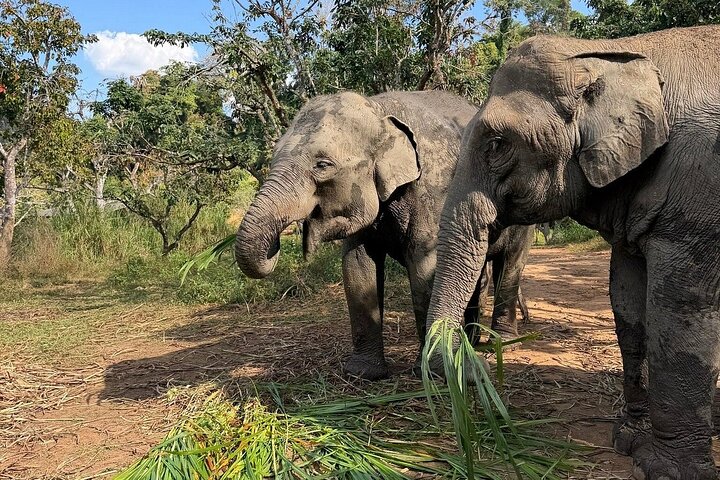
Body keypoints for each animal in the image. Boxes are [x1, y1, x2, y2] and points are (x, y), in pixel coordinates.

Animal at [234, 90, 534, 381]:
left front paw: (424, 371)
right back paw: (471, 343)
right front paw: (363, 373)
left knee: (510, 265)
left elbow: (425, 265)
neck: (378, 108)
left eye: (322, 165)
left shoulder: (434, 190)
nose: (279, 245)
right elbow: (357, 267)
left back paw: (503, 344)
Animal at [425, 26, 720, 480]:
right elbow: (628, 302)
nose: (478, 368)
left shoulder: (696, 185)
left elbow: (675, 309)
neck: (612, 52)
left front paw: (664, 468)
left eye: (496, 144)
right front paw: (627, 439)